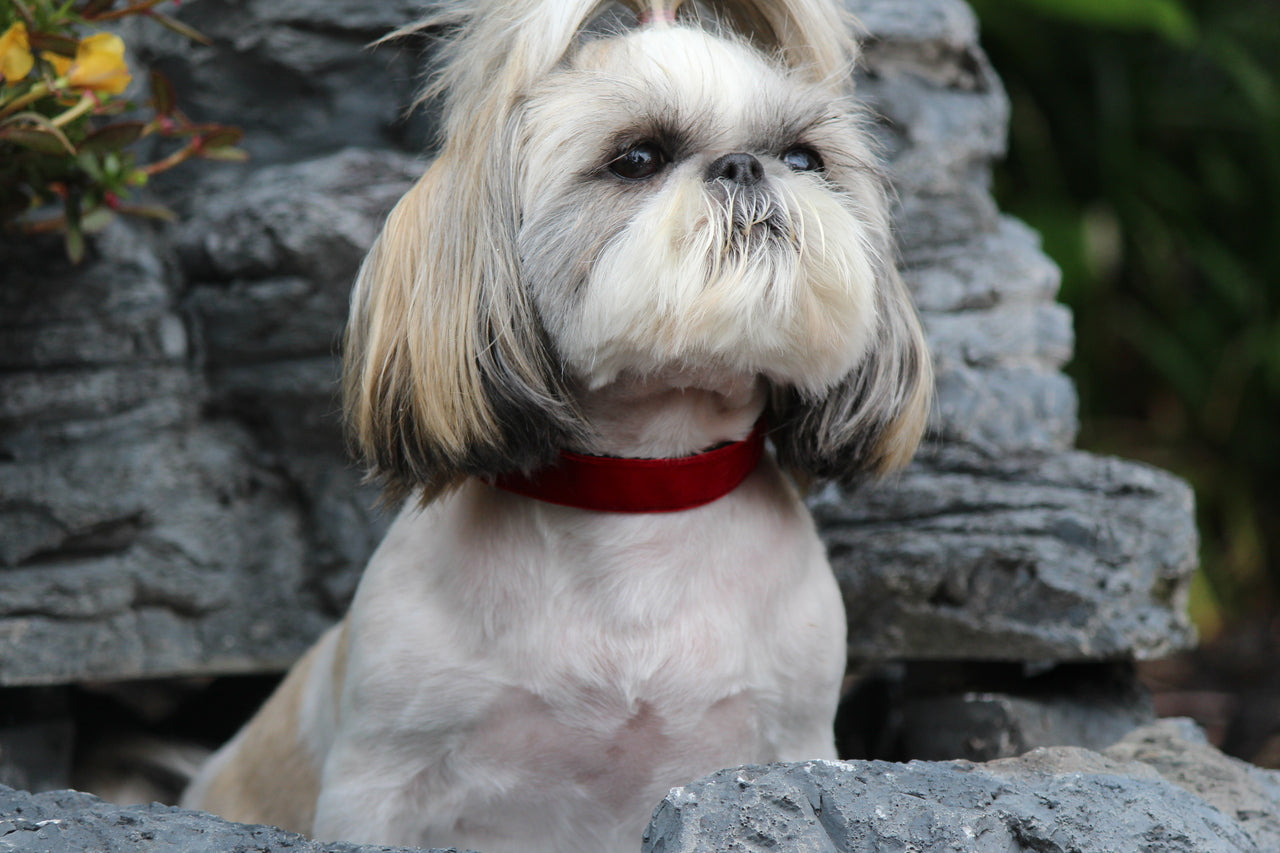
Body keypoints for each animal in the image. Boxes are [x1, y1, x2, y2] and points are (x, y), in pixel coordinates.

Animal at [180, 1, 931, 850]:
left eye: (805, 158)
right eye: (636, 157)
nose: (744, 165)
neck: (640, 491)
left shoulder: (789, 741)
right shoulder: (378, 781)